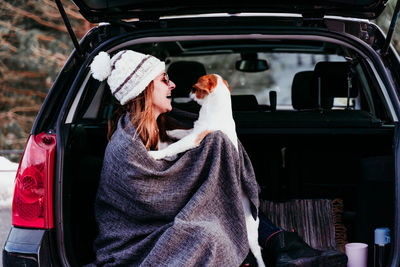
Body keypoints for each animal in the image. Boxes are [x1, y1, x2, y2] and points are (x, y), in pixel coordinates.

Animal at [148, 74, 268, 267]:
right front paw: (170, 132)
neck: (213, 109)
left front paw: (156, 154)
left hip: (250, 236)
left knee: (258, 254)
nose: (187, 92)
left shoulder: (195, 137)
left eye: (194, 88)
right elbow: (182, 132)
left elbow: (176, 146)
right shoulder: (195, 130)